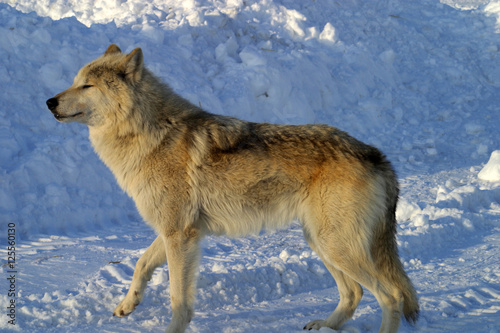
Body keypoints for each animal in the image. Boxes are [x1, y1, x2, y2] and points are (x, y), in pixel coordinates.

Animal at [47, 44, 418, 332]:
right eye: (74, 82)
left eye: (87, 86)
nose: (49, 101)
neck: (149, 135)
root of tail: (376, 155)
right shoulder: (174, 231)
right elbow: (141, 264)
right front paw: (127, 304)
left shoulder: (179, 235)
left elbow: (178, 299)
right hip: (320, 242)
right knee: (354, 293)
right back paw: (325, 325)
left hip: (334, 245)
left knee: (391, 296)